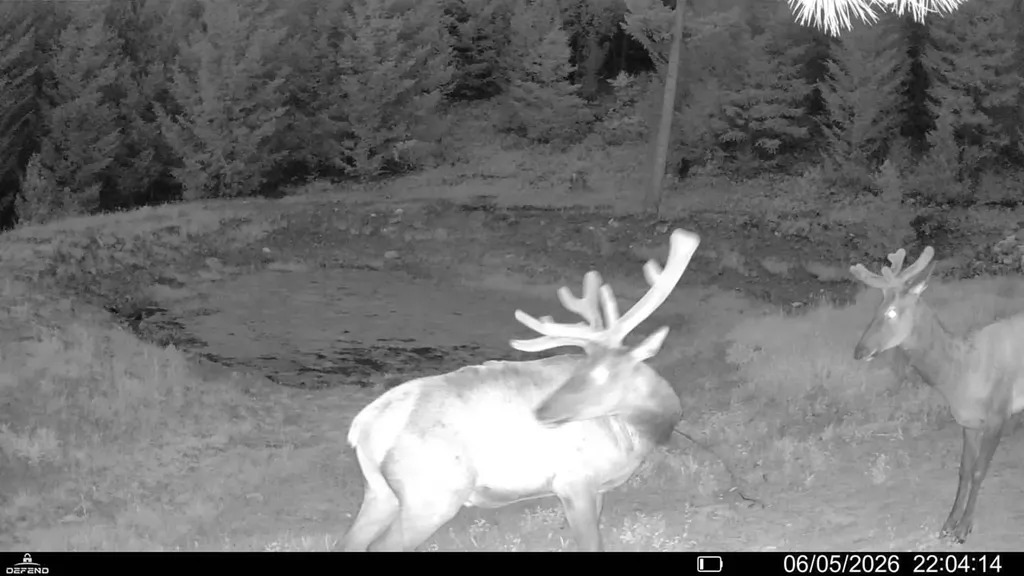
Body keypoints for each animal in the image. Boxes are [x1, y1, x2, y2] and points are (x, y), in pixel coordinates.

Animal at [342, 228, 701, 551]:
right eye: (580, 369)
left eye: (602, 374)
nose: (541, 412)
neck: (638, 435)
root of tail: (364, 427)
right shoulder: (574, 481)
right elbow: (591, 544)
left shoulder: (595, 488)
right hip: (433, 494)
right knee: (380, 546)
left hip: (380, 492)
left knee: (351, 541)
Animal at [850, 245, 1024, 544]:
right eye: (876, 308)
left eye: (892, 312)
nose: (859, 351)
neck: (961, 376)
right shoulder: (968, 422)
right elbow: (964, 470)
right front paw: (948, 525)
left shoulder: (998, 414)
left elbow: (979, 470)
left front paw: (964, 529)